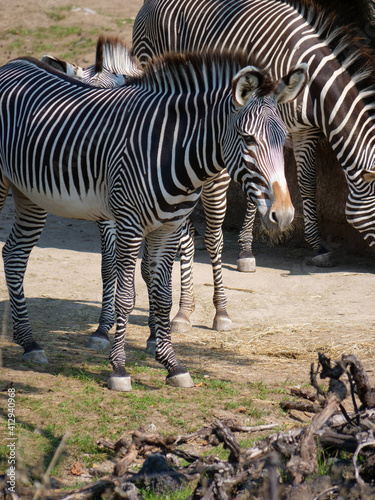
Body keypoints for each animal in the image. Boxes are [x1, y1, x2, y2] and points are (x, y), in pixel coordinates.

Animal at [0, 48, 308, 388]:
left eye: (283, 138)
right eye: (249, 139)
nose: (284, 214)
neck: (171, 151)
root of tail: (11, 64)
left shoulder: (167, 229)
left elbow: (162, 295)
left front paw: (171, 363)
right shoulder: (127, 223)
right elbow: (122, 291)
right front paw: (119, 368)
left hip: (29, 194)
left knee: (14, 255)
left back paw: (30, 343)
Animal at [133, 0, 375, 270]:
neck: (313, 90)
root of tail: (148, 4)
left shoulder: (304, 131)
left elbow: (307, 183)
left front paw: (319, 247)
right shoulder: (258, 127)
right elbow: (256, 190)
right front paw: (246, 250)